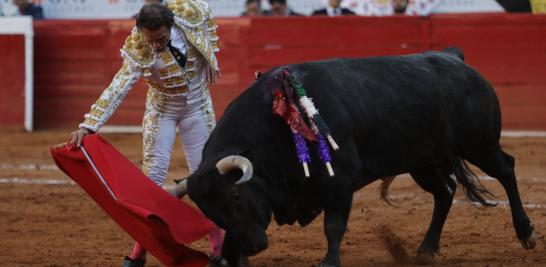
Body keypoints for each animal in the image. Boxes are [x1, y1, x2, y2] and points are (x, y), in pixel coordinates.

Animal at [175, 48, 536, 267]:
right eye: (210, 211)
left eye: (236, 196)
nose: (252, 247)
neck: (276, 125)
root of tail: (455, 59)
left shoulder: (339, 181)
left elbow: (334, 226)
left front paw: (329, 261)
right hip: (422, 161)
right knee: (445, 192)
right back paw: (426, 249)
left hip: (479, 144)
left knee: (506, 170)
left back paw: (526, 233)